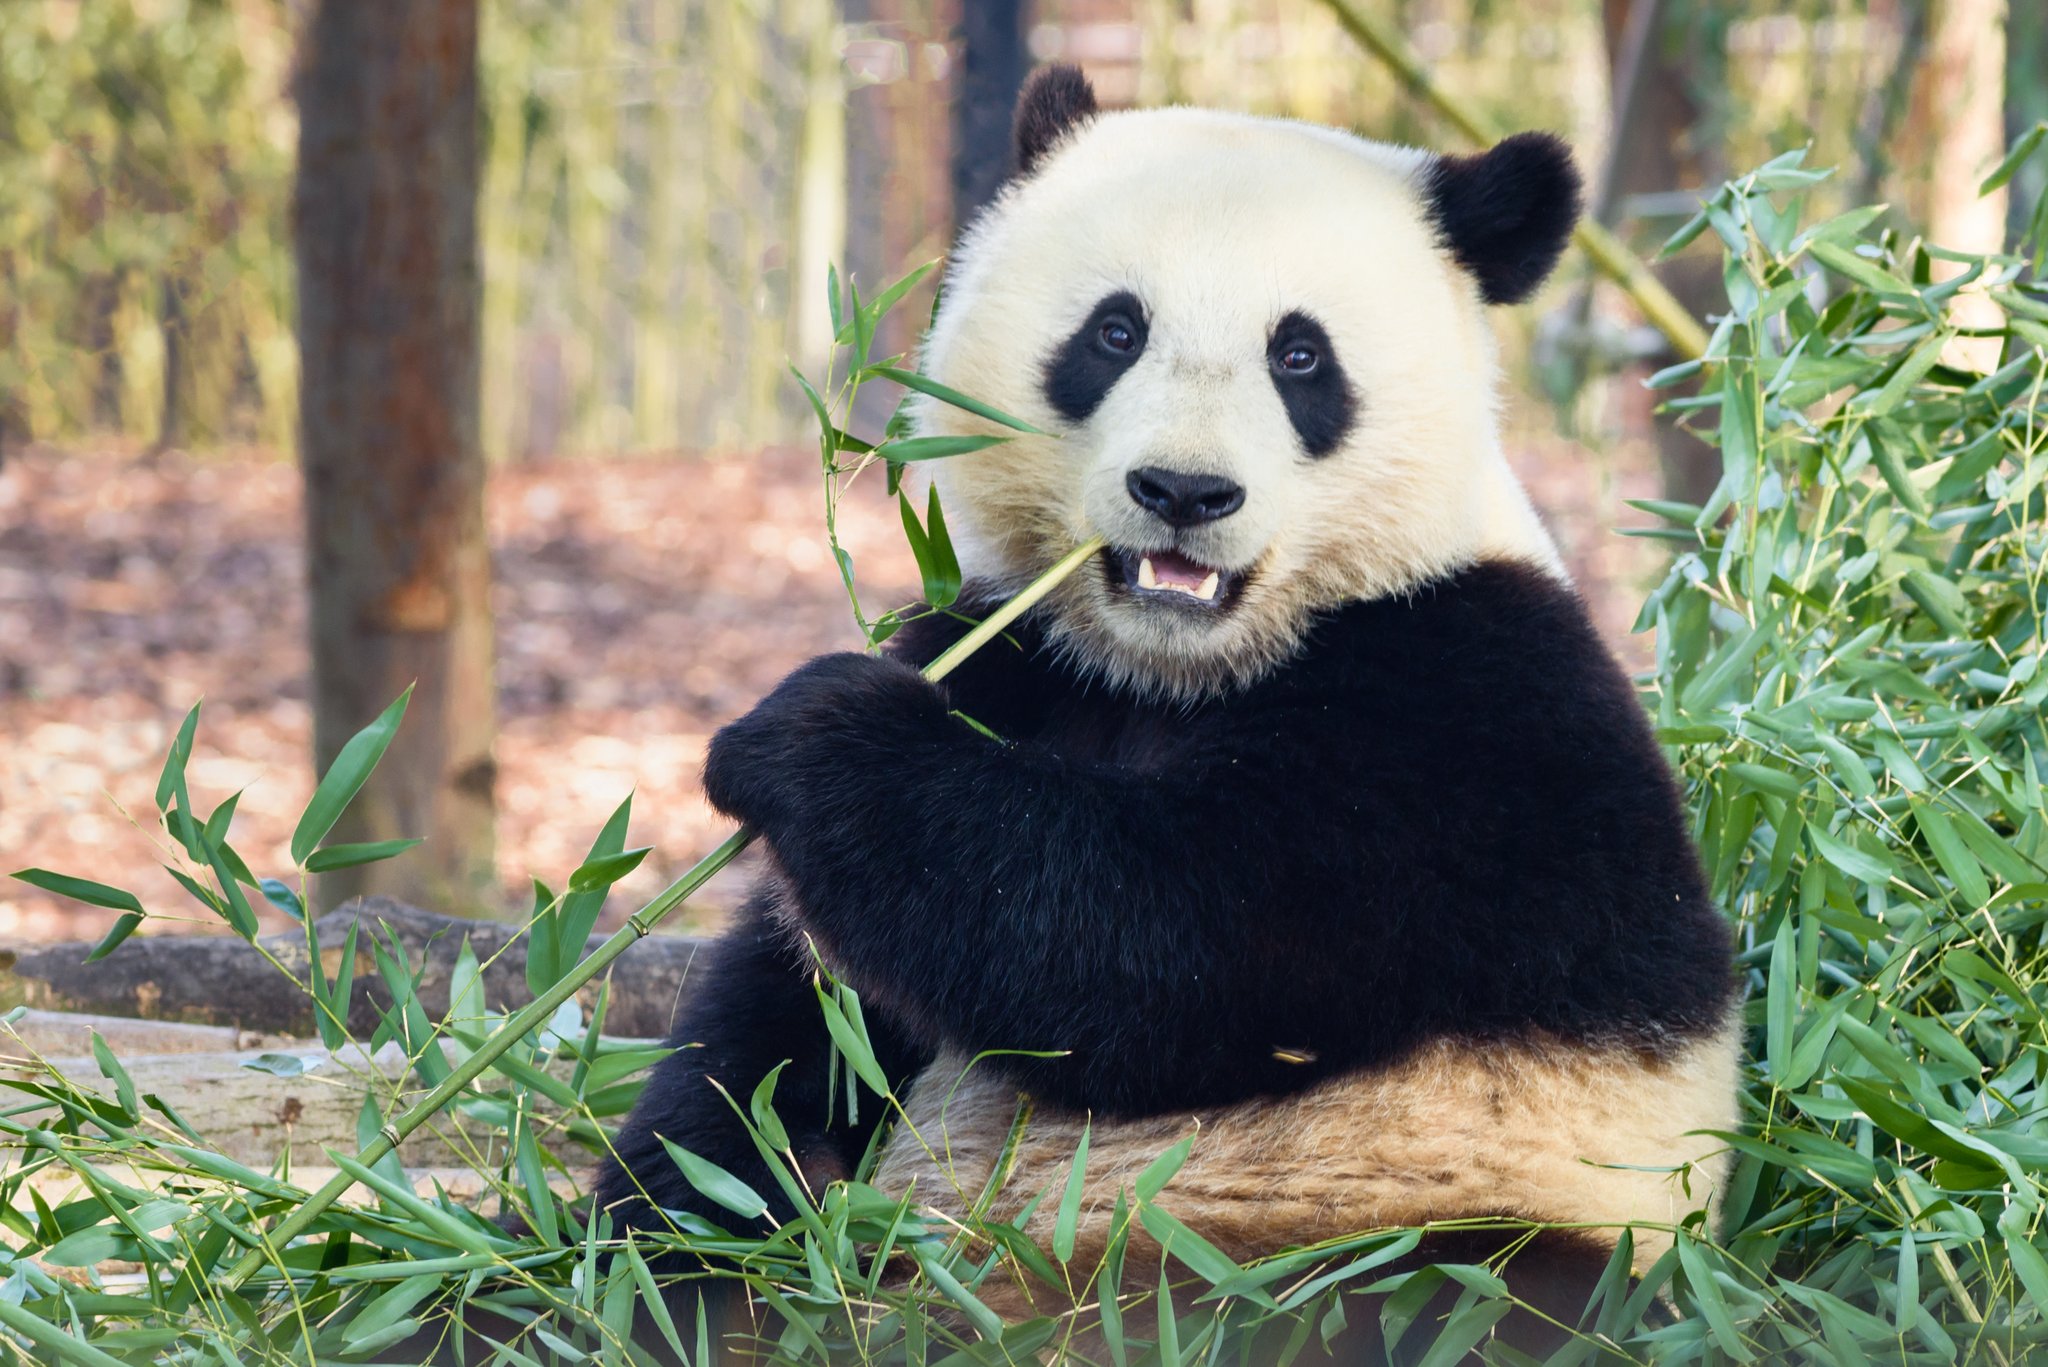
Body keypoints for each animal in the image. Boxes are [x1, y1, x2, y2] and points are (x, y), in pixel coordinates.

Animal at [597, 64, 1739, 1356]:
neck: (1175, 667)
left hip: (1426, 1235)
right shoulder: (1016, 652)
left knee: (1440, 1297)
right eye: (1114, 330)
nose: (1184, 491)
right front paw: (661, 1235)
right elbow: (795, 1025)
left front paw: (806, 734)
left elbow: (1164, 946)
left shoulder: (1472, 713)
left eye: (1300, 356)